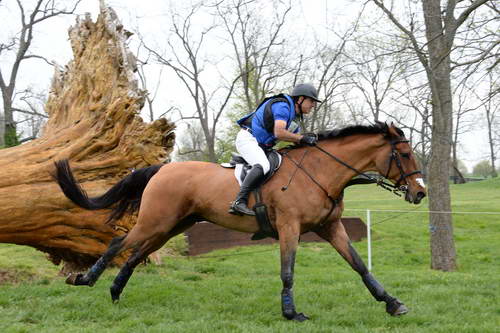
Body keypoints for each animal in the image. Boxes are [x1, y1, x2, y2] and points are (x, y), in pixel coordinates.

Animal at [53, 121, 426, 320]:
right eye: (406, 154)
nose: (420, 193)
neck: (321, 173)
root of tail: (162, 168)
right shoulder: (290, 228)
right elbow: (287, 271)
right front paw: (291, 313)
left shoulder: (330, 227)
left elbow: (360, 265)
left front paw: (392, 303)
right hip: (157, 221)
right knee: (121, 243)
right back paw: (85, 279)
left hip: (174, 225)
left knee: (134, 253)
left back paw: (115, 292)